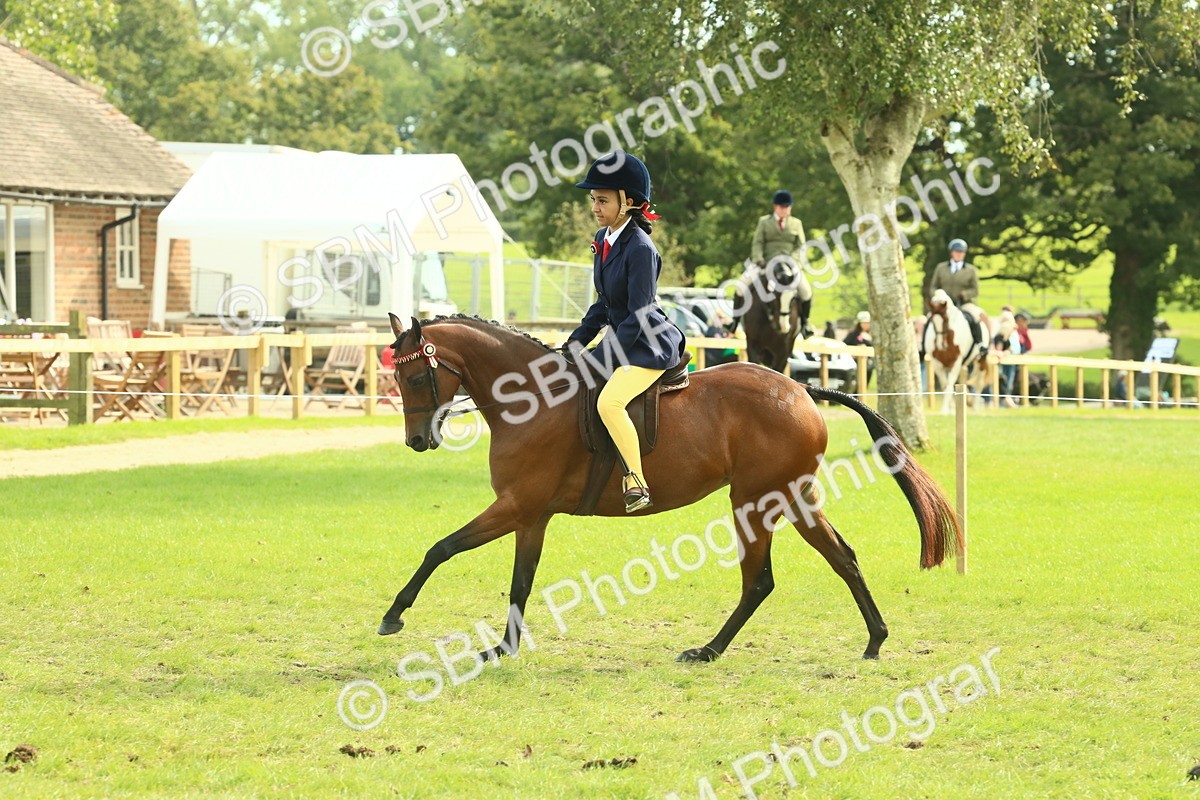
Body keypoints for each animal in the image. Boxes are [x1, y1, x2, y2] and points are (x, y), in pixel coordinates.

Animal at [380, 312, 962, 663]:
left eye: (415, 377)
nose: (416, 441)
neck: (532, 399)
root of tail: (800, 388)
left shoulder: (515, 506)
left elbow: (441, 549)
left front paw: (393, 615)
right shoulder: (530, 515)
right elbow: (519, 582)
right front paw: (504, 647)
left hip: (754, 502)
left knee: (760, 579)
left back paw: (709, 650)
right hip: (792, 498)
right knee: (841, 557)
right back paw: (874, 640)